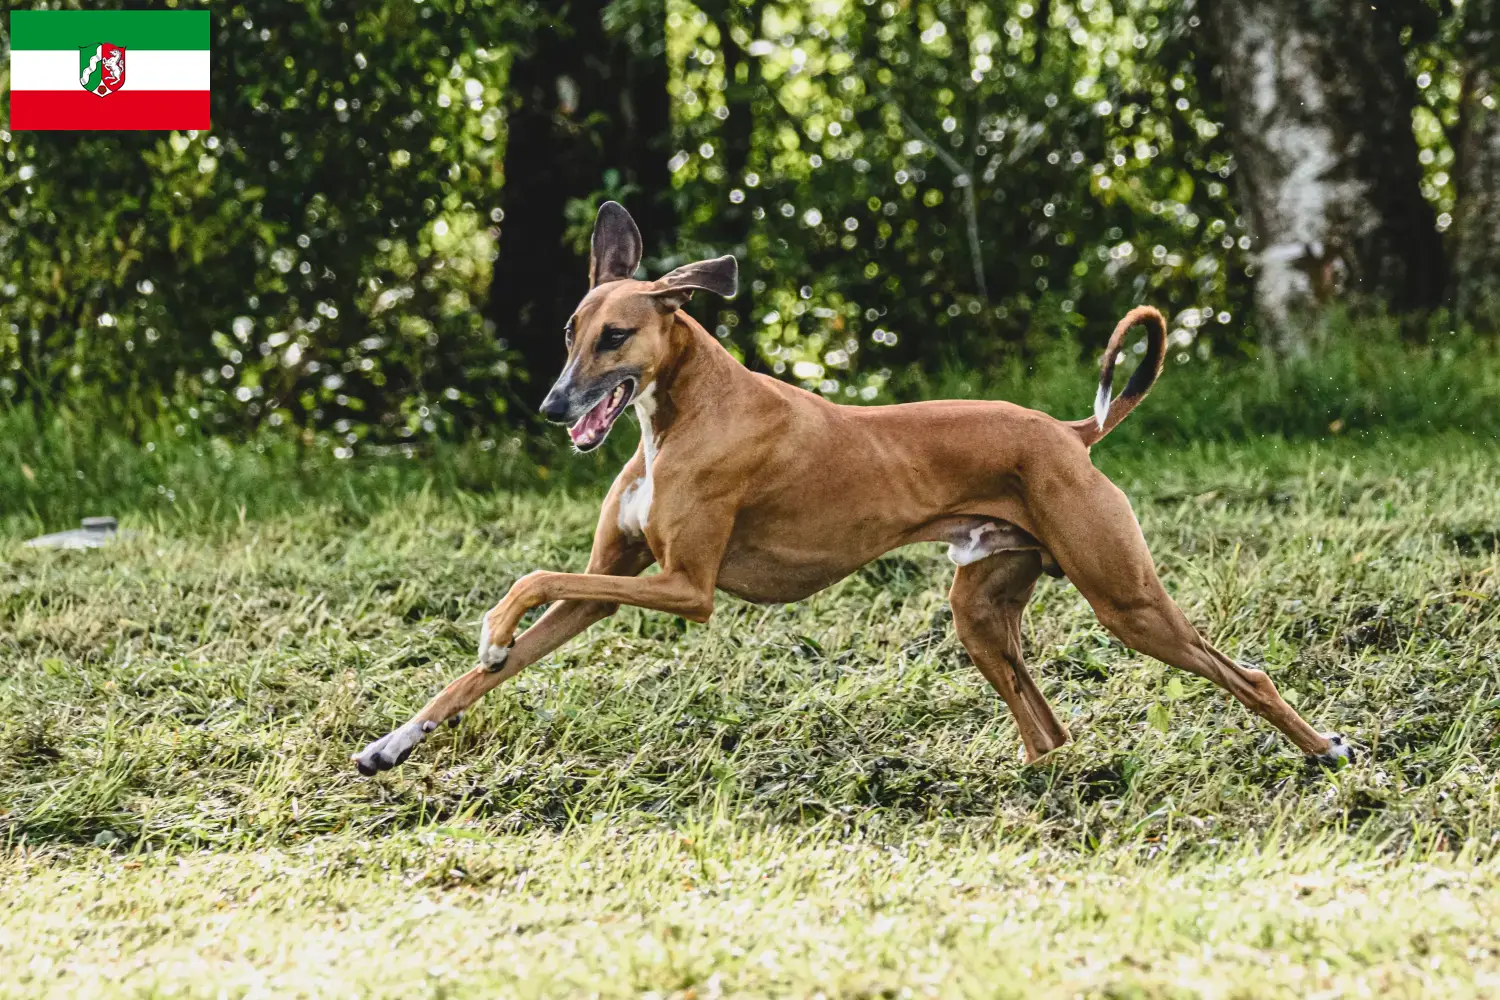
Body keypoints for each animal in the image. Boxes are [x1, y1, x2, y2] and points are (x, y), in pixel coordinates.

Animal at [354, 200, 1362, 773]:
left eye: (617, 337)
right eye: (571, 329)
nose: (553, 406)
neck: (683, 414)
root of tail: (1071, 434)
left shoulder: (685, 588)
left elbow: (528, 580)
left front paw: (490, 625)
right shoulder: (611, 589)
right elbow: (477, 674)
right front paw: (391, 744)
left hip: (1127, 599)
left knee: (1245, 673)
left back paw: (1328, 751)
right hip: (980, 611)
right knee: (1049, 734)